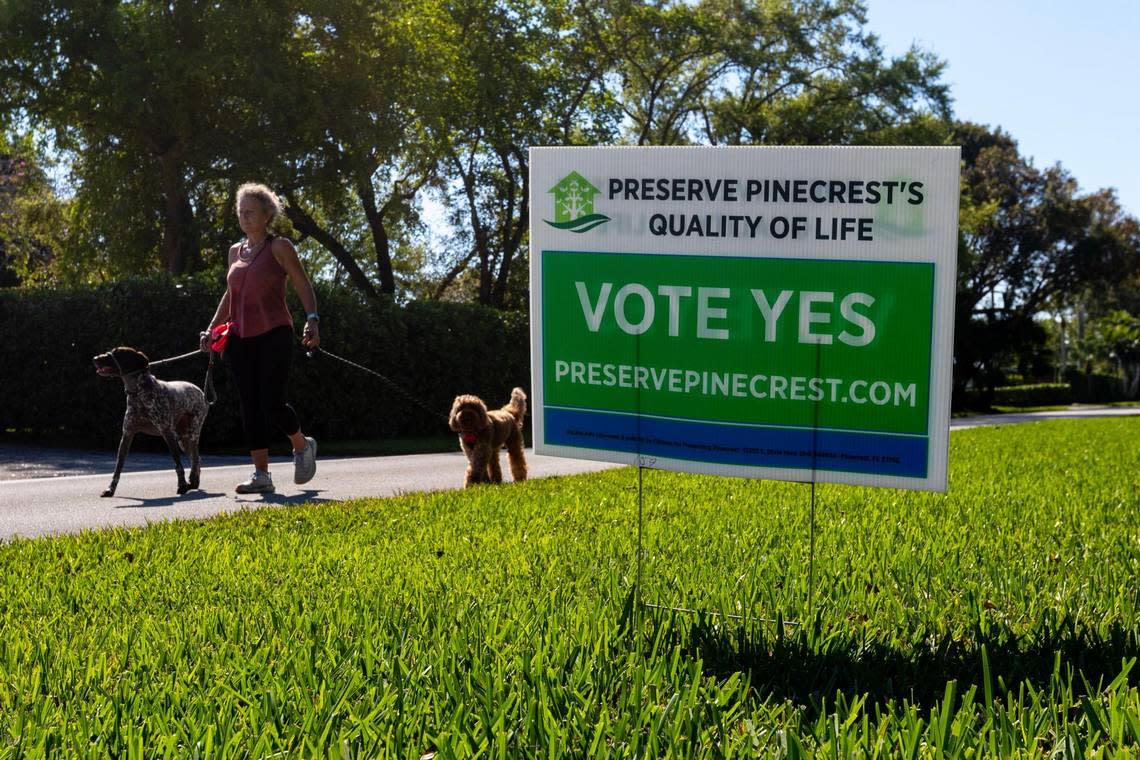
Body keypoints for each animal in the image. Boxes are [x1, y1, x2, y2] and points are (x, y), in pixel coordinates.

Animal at [93, 346, 209, 499]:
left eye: (117, 353)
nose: (94, 358)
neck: (138, 392)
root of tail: (201, 392)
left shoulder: (167, 433)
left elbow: (177, 463)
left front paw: (182, 486)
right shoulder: (127, 434)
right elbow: (118, 467)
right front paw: (110, 489)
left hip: (191, 433)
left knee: (195, 458)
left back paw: (192, 481)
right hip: (182, 440)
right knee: (197, 459)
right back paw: (194, 482)